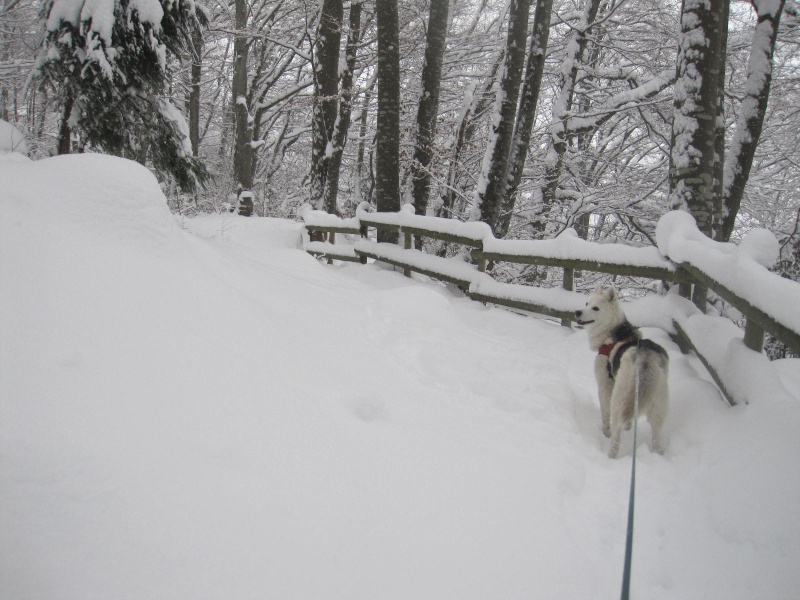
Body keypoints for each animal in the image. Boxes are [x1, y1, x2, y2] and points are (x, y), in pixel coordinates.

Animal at [576, 286, 668, 460]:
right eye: (586, 303)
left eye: (596, 308)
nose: (577, 312)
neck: (614, 332)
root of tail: (645, 358)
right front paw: (629, 428)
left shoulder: (605, 386)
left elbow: (605, 415)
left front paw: (605, 433)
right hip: (657, 406)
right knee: (657, 437)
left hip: (619, 398)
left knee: (616, 432)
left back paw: (610, 455)